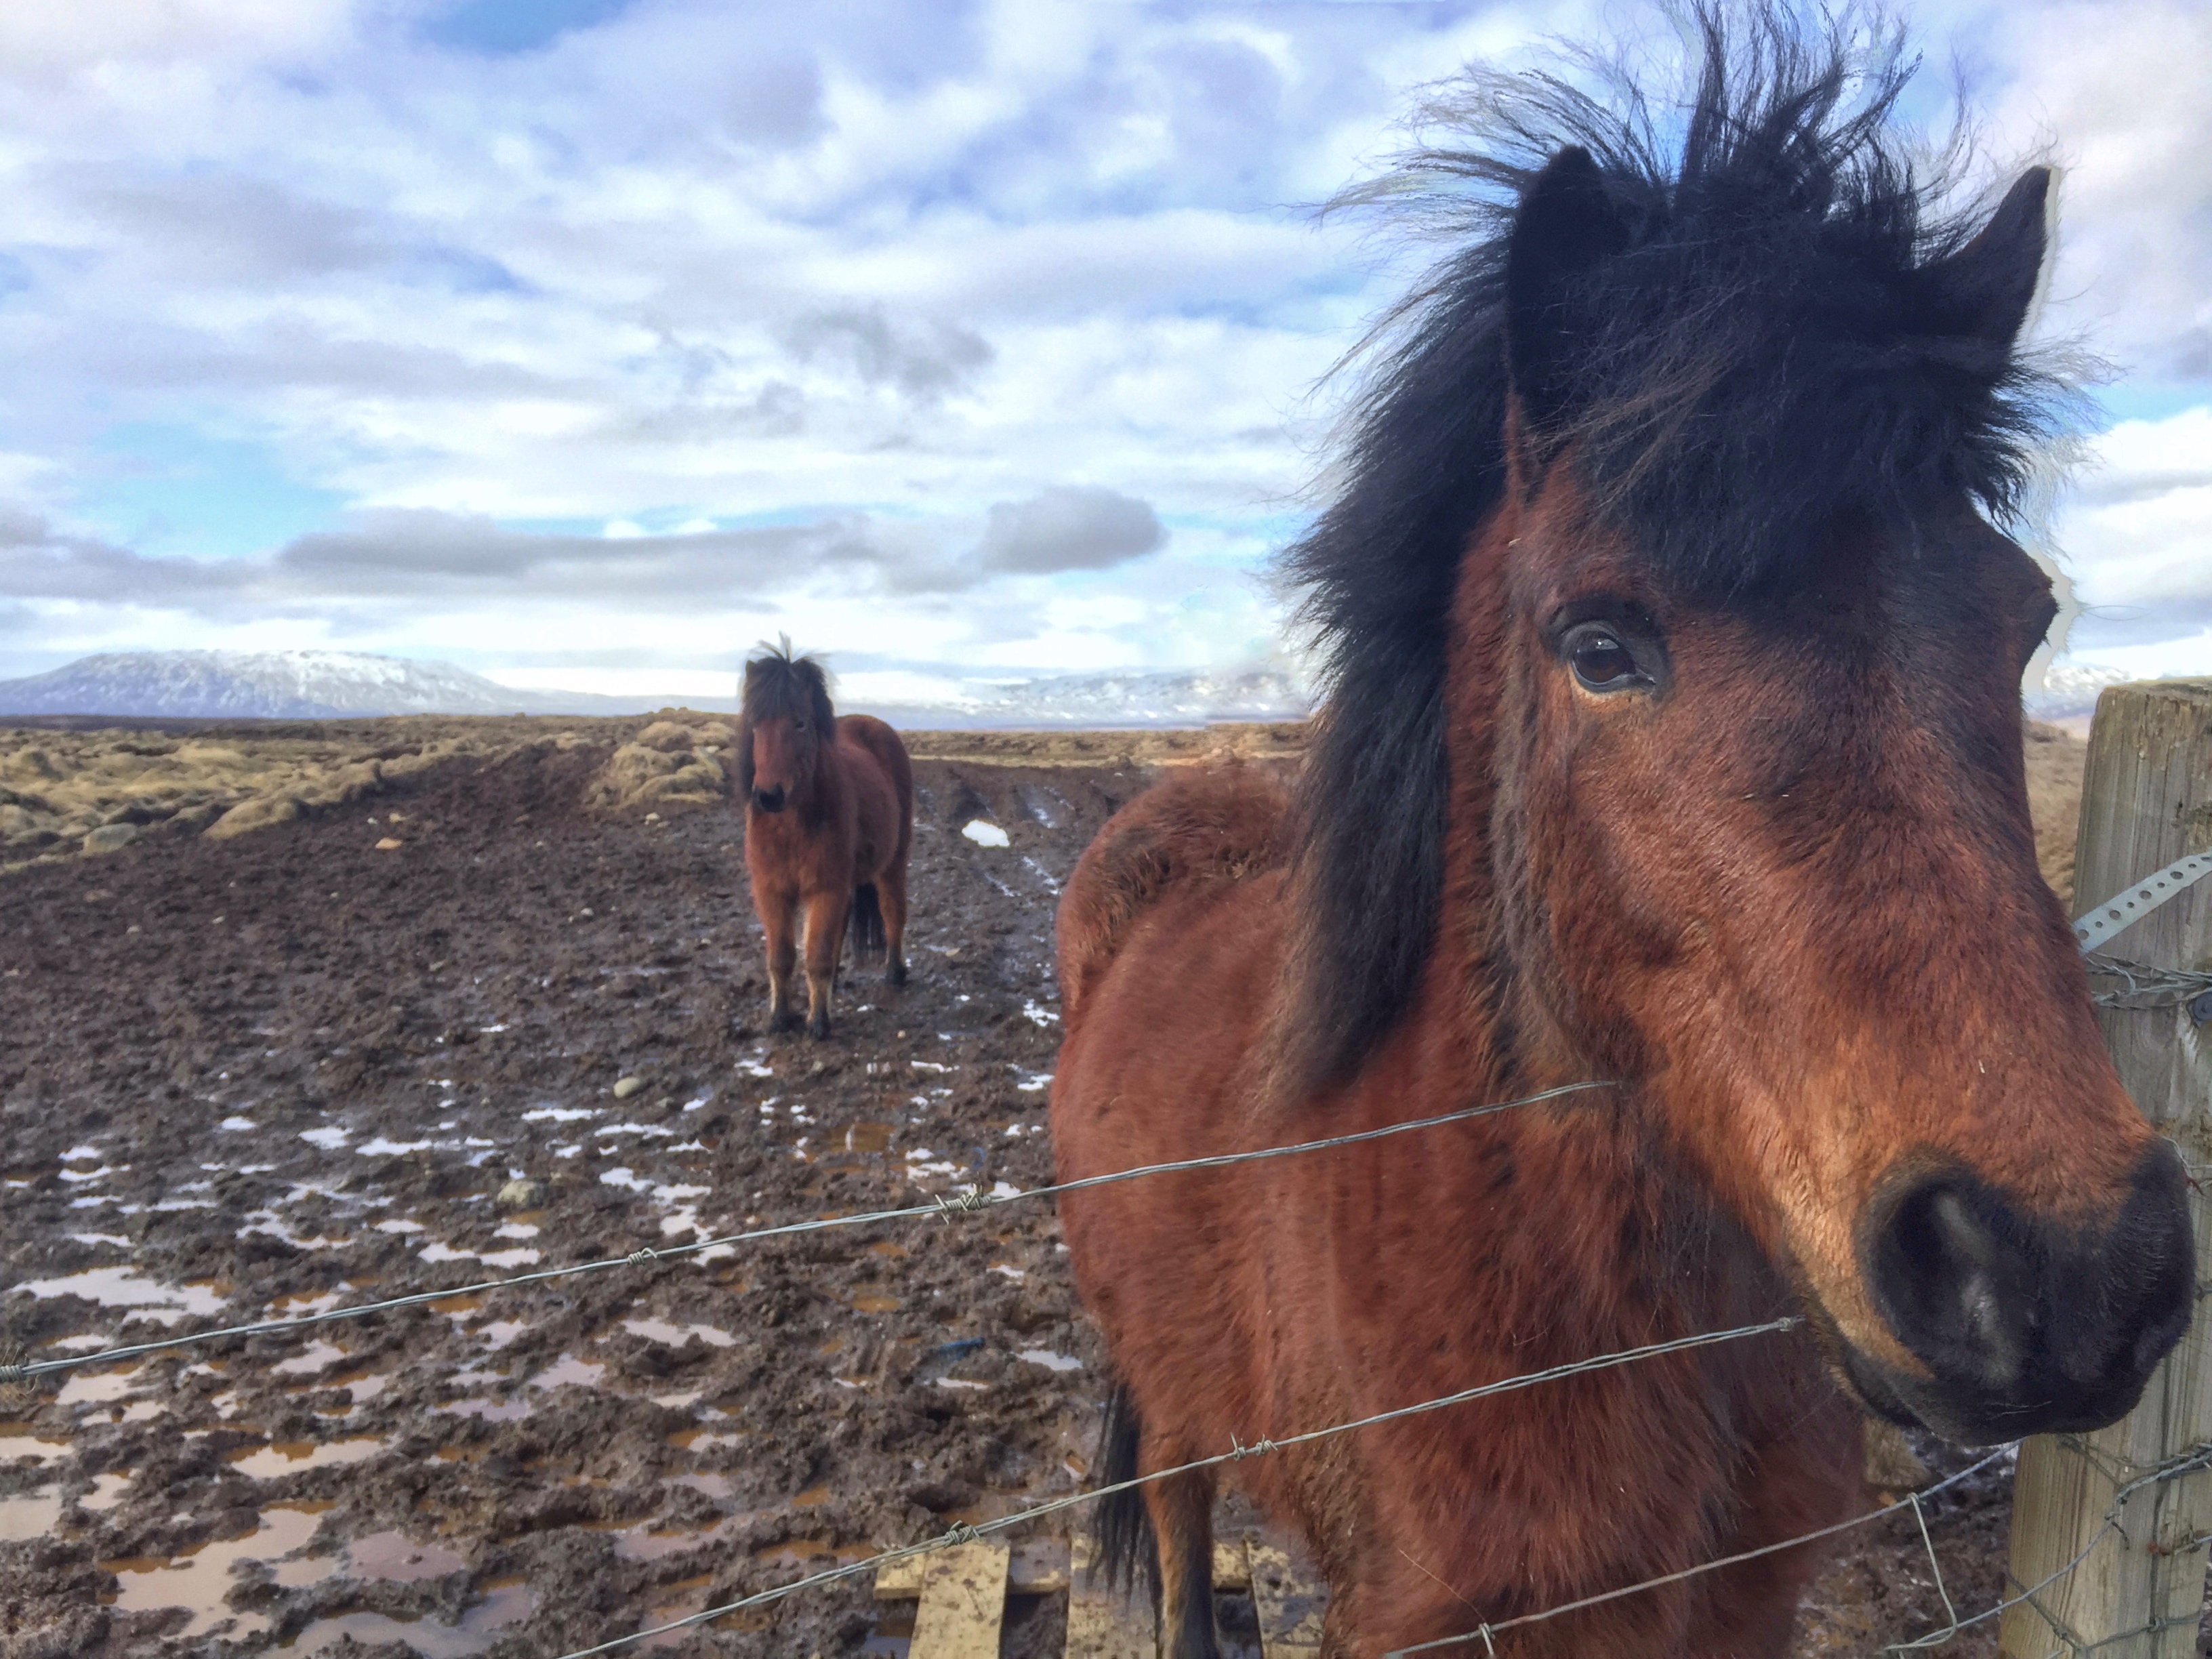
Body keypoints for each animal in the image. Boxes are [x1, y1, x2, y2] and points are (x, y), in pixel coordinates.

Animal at [735, 646, 913, 1039]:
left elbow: (815, 954)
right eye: (755, 724)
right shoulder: (770, 890)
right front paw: (779, 1018)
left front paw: (818, 1023)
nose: (768, 796)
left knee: (893, 911)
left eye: (800, 723)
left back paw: (895, 973)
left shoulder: (825, 887)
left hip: (893, 862)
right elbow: (782, 957)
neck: (791, 826)